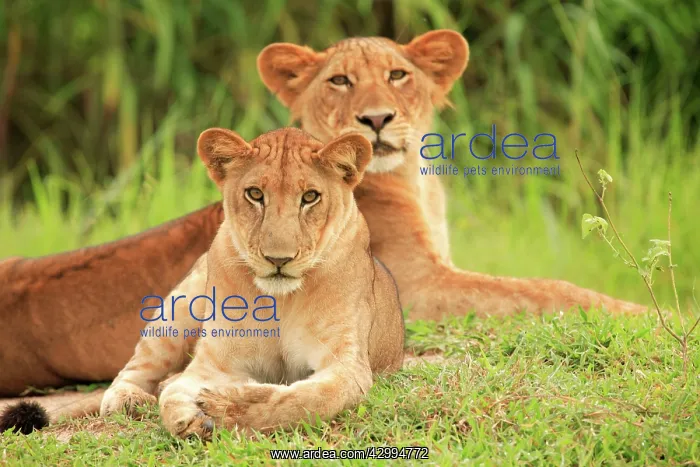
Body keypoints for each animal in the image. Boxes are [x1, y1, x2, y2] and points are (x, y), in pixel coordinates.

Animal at [0, 29, 646, 405]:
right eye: (340, 80)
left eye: (398, 75)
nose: (376, 119)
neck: (415, 181)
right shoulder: (419, 287)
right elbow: (543, 289)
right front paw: (636, 310)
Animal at [102, 127, 404, 438]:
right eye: (255, 194)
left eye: (310, 196)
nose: (278, 259)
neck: (283, 300)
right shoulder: (213, 364)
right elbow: (173, 397)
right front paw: (190, 418)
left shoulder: (346, 365)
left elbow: (309, 399)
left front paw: (228, 406)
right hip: (177, 310)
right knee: (137, 365)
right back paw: (128, 399)